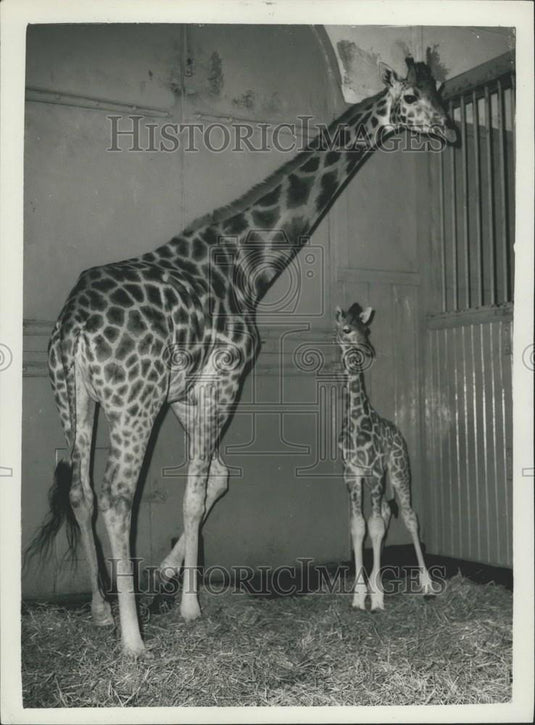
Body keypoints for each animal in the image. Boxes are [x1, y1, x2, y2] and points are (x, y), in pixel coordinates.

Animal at [335, 302, 435, 611]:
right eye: (347, 329)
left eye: (366, 330)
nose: (367, 350)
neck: (357, 422)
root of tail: (399, 433)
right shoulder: (352, 474)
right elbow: (359, 526)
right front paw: (359, 596)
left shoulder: (377, 471)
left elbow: (375, 526)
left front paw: (377, 597)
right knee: (386, 513)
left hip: (401, 470)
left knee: (410, 516)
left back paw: (428, 585)